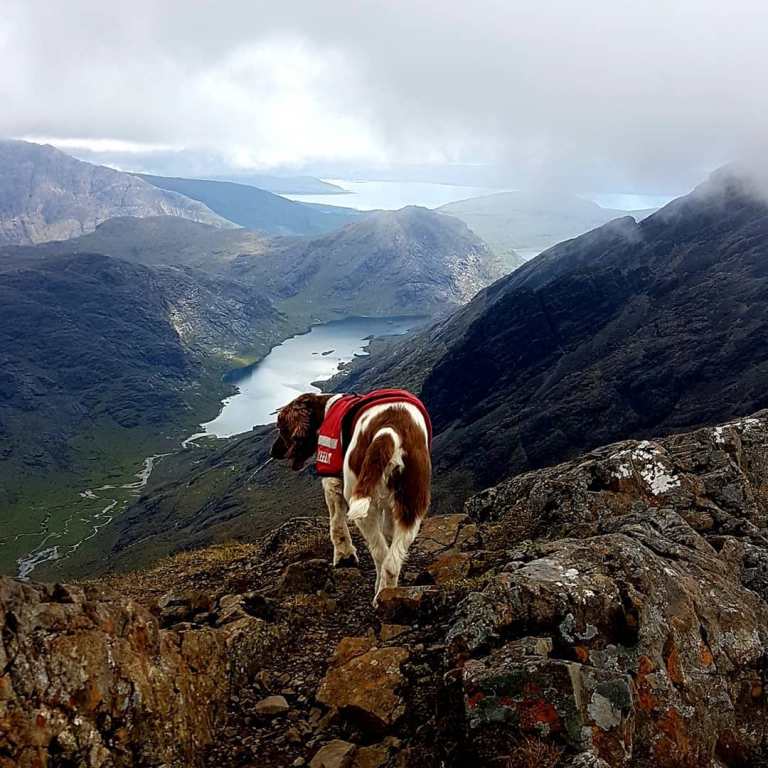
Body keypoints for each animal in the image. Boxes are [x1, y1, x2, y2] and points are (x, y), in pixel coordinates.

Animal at [272, 392, 432, 604]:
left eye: (281, 427)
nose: (272, 452)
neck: (326, 408)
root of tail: (389, 431)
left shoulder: (332, 483)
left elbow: (336, 523)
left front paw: (343, 555)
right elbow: (388, 530)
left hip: (362, 505)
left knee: (380, 554)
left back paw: (378, 592)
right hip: (412, 505)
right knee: (391, 560)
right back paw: (386, 594)